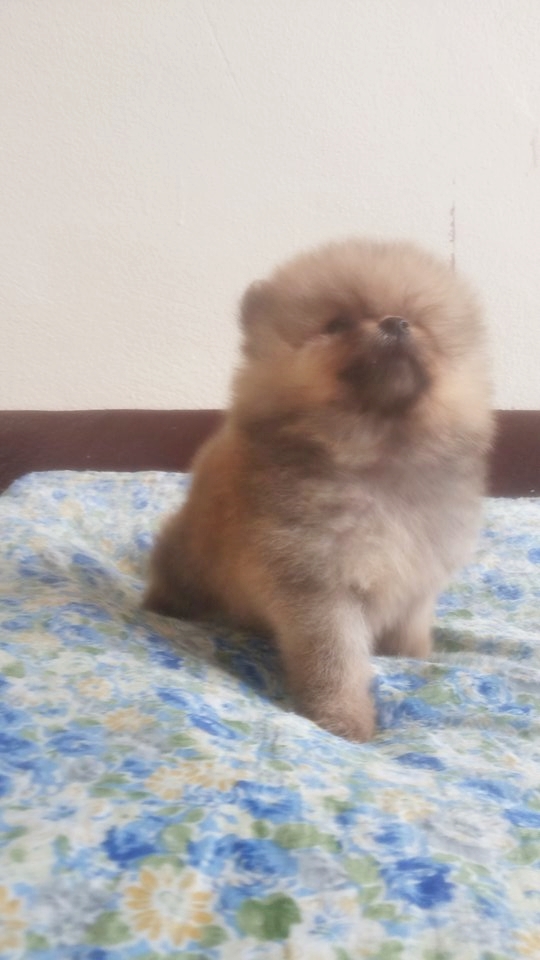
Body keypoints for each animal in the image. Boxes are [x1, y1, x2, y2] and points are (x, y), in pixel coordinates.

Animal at [145, 238, 493, 741]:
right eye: (339, 324)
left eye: (420, 320)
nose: (396, 323)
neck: (377, 464)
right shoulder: (318, 586)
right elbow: (336, 661)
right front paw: (344, 720)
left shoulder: (416, 579)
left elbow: (410, 633)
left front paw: (414, 660)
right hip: (191, 559)